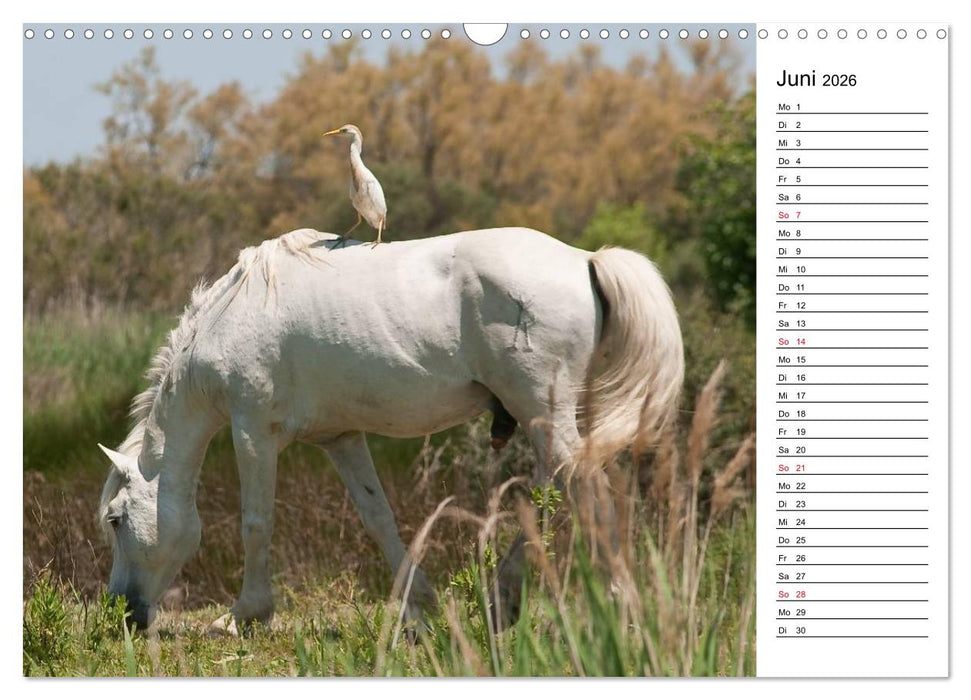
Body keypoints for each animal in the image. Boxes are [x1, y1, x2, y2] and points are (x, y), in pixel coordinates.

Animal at [96, 226, 684, 633]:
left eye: (115, 519)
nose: (122, 612)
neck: (231, 318)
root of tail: (585, 259)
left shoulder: (252, 432)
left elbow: (256, 524)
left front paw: (244, 616)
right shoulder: (341, 439)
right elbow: (378, 519)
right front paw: (419, 605)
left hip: (545, 413)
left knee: (589, 495)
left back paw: (620, 607)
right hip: (545, 421)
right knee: (550, 494)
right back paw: (502, 602)